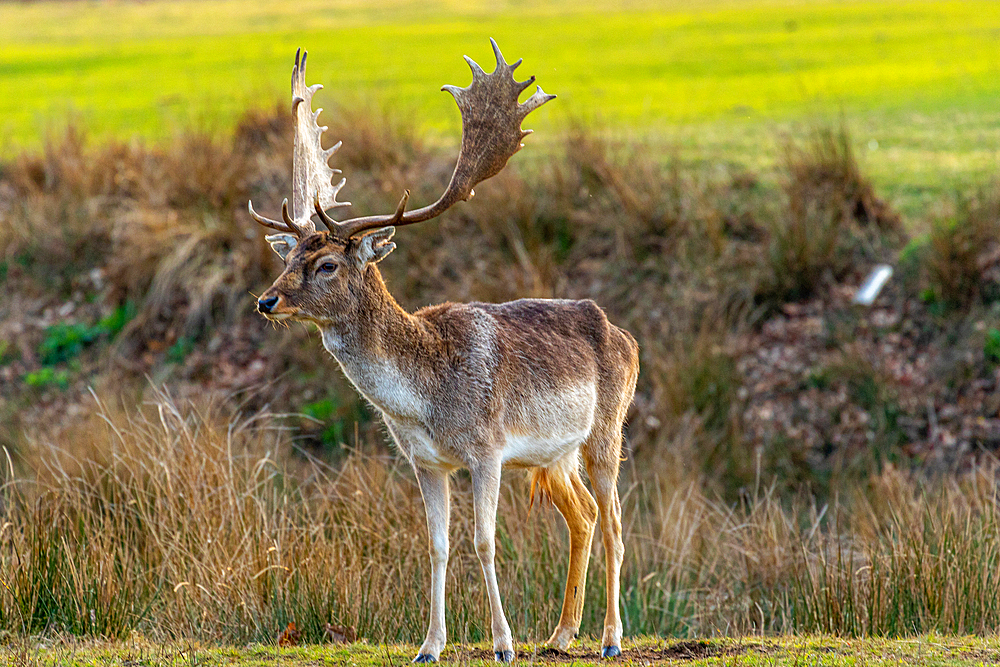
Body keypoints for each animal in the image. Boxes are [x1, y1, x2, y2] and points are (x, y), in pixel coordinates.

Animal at [252, 41, 640, 664]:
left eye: (327, 264)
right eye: (287, 258)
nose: (266, 300)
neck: (425, 400)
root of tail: (627, 337)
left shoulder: (487, 448)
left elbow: (484, 541)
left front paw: (503, 643)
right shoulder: (425, 461)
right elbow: (436, 545)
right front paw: (429, 645)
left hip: (607, 431)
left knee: (614, 523)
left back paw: (609, 637)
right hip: (554, 455)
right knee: (581, 517)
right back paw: (560, 634)